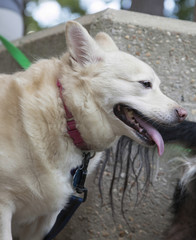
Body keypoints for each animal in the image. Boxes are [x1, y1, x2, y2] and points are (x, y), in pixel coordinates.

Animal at [0, 21, 187, 240]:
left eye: (157, 85)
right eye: (145, 84)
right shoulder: (4, 208)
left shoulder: (44, 221)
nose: (184, 114)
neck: (66, 117)